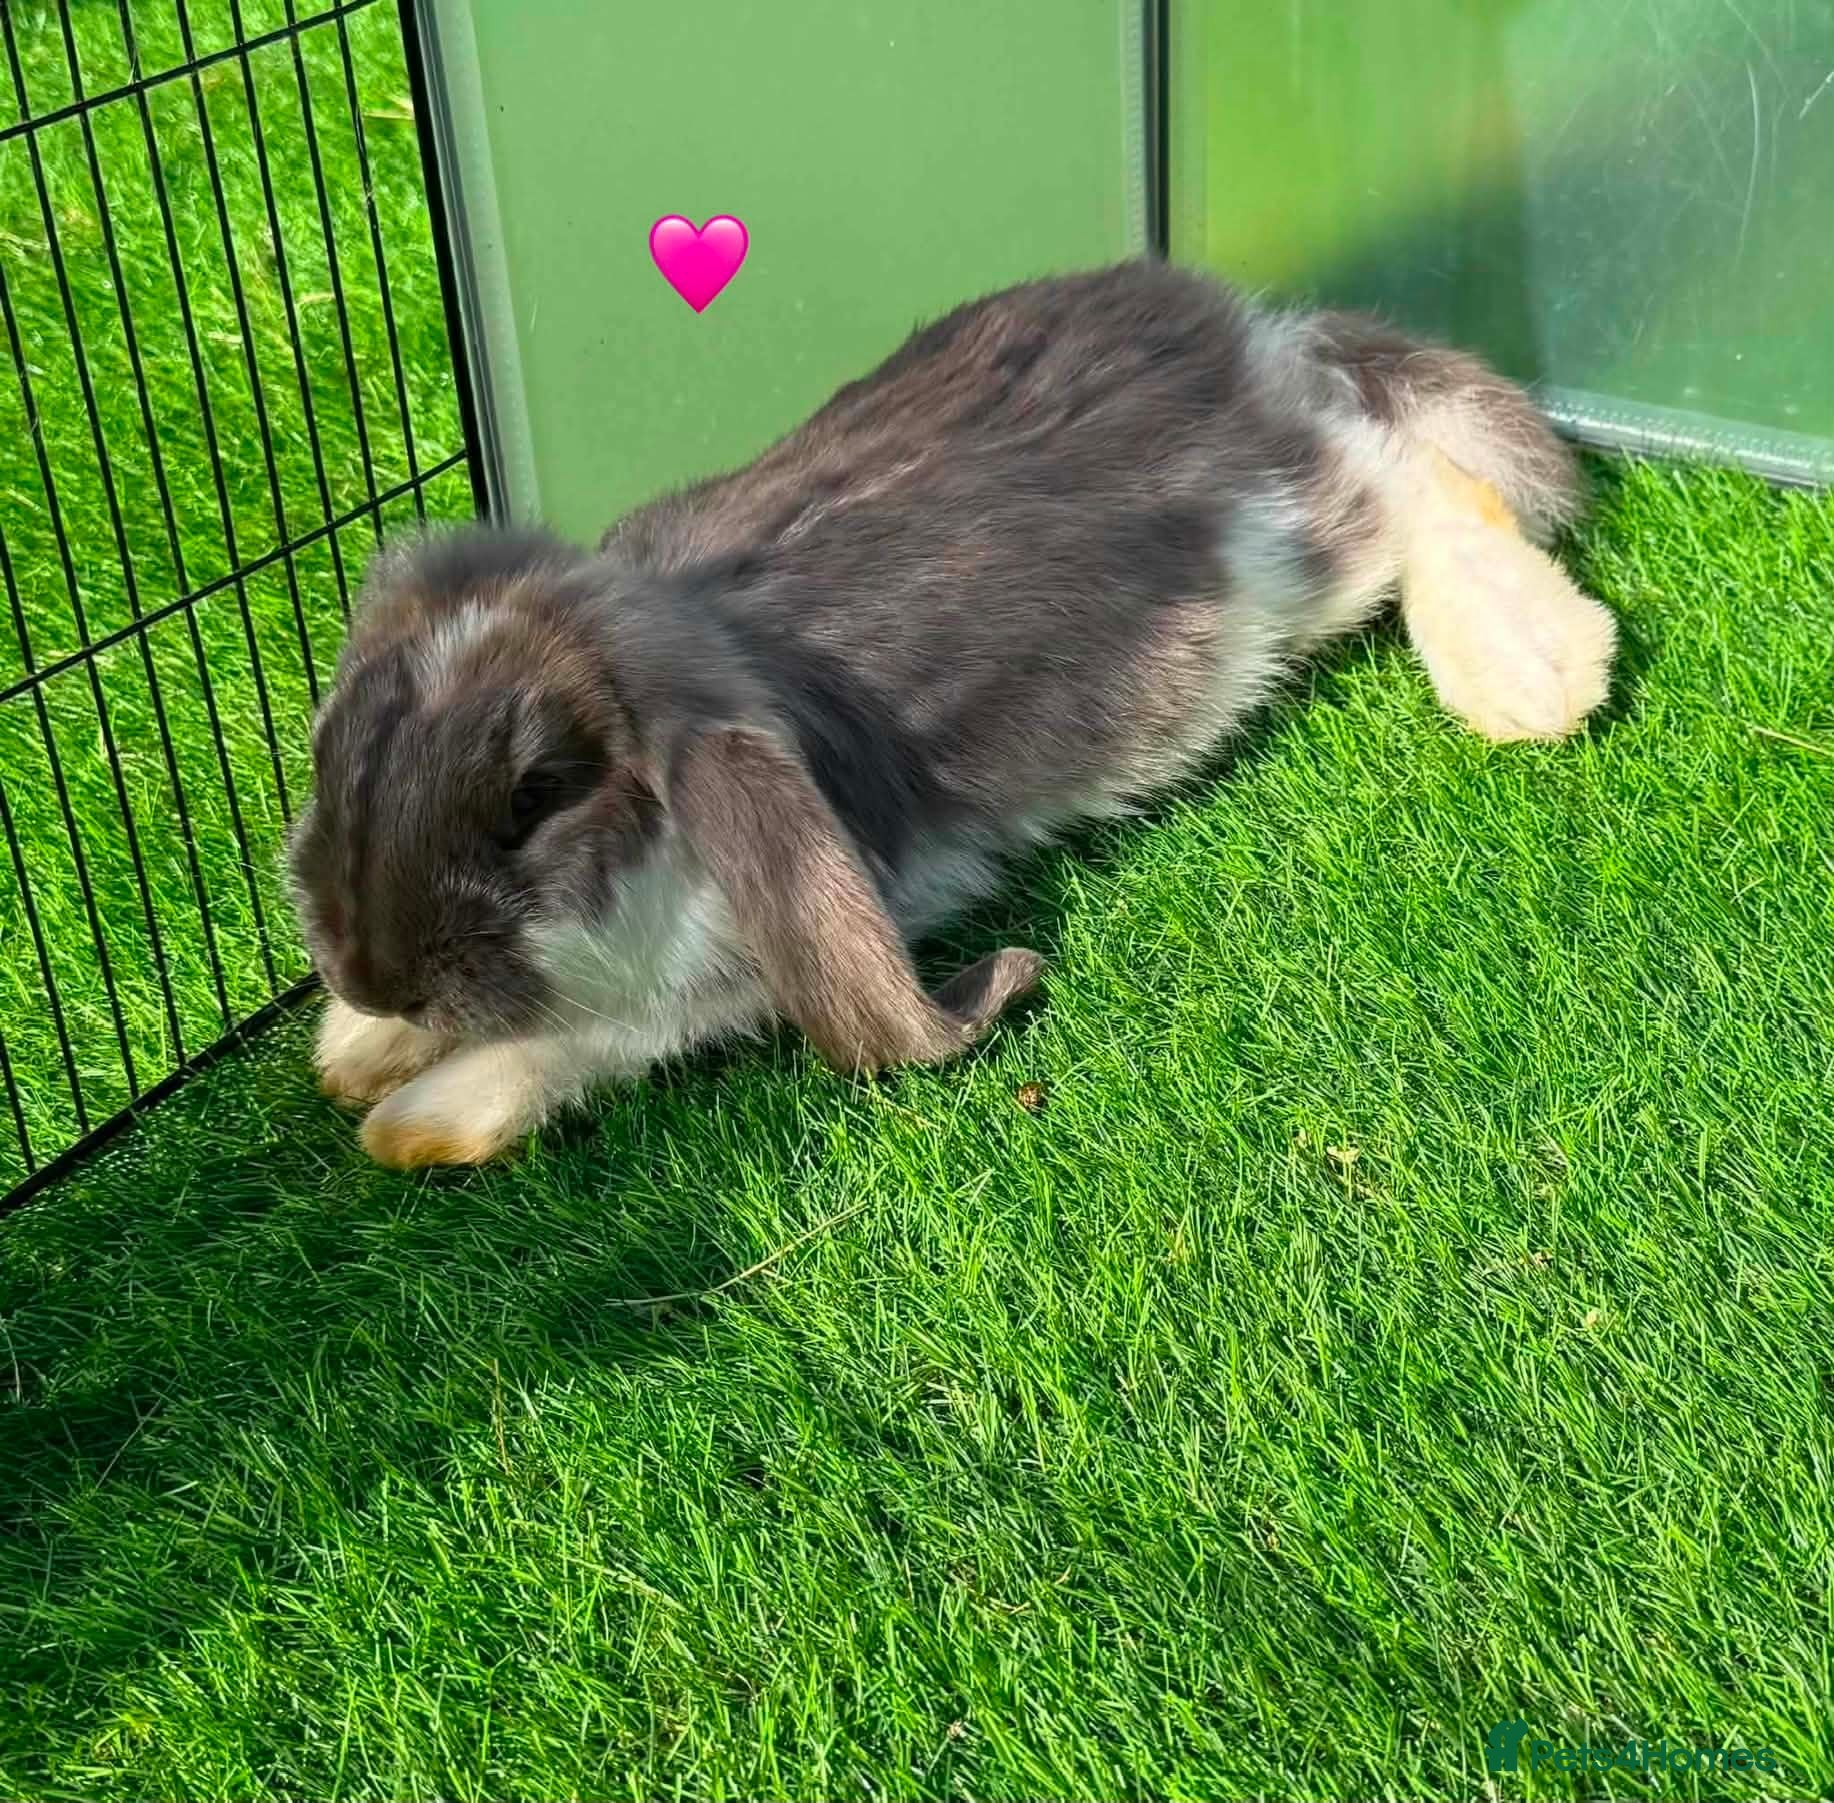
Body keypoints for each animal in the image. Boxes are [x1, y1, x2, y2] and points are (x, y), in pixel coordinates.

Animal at [288, 259, 1616, 1168]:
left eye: (533, 799)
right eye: (338, 750)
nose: (374, 978)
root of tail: (1246, 337)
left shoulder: (725, 973)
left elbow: (596, 1033)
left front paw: (417, 1113)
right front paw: (356, 1051)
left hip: (1298, 549)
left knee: (1418, 479)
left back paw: (1531, 677)